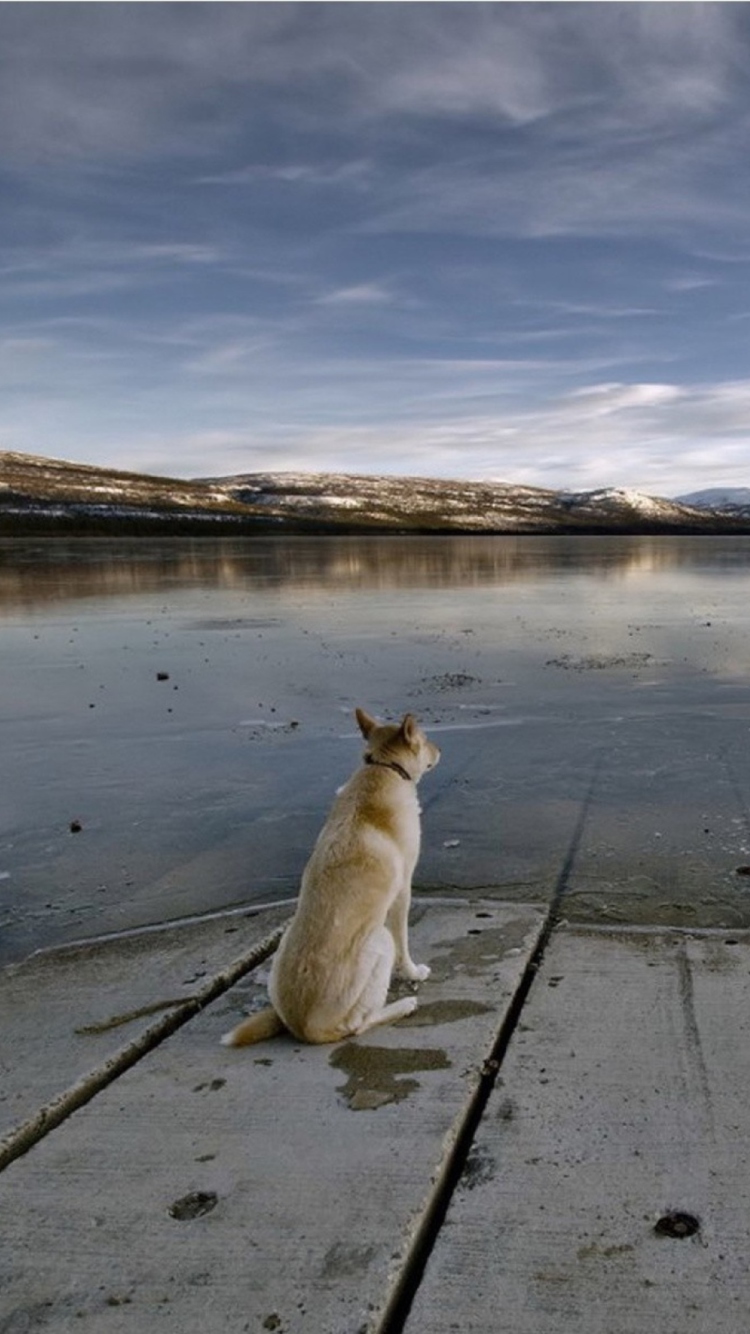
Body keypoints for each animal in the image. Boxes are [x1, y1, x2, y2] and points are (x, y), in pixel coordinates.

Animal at [218, 715, 437, 1045]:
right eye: (424, 741)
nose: (439, 750)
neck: (383, 767)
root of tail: (302, 1027)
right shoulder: (403, 892)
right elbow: (403, 942)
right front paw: (412, 973)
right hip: (378, 941)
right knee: (358, 1025)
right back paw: (403, 1005)